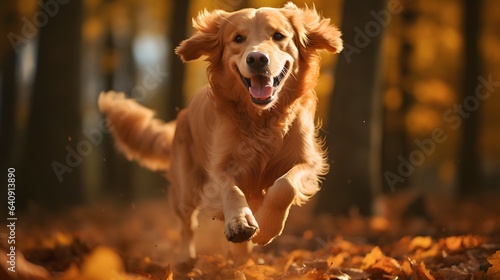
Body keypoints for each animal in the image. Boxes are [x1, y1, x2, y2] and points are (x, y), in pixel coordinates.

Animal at [98, 2, 340, 264]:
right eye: (238, 38)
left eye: (278, 36)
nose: (257, 58)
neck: (261, 118)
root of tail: (181, 117)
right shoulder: (220, 166)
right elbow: (231, 189)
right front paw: (240, 221)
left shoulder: (307, 161)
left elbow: (285, 185)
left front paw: (267, 226)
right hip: (186, 187)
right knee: (186, 225)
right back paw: (186, 260)